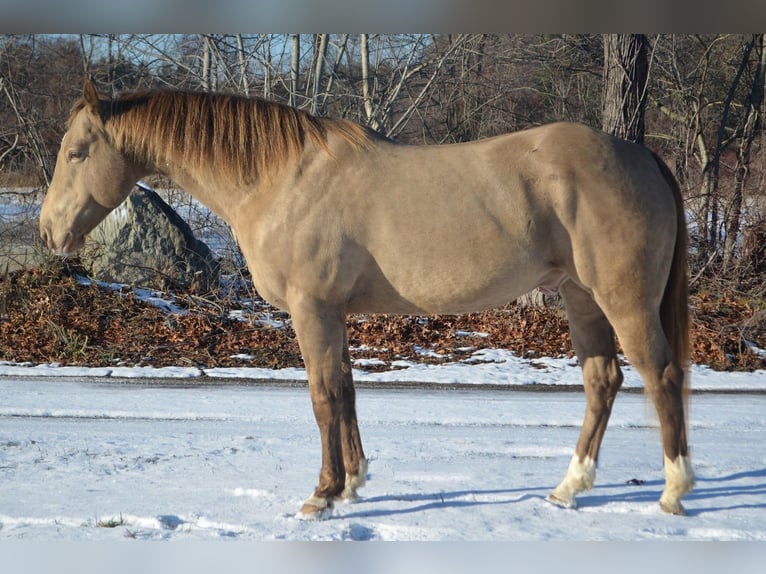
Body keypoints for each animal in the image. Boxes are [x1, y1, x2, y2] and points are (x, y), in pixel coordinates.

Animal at [40, 79, 695, 518]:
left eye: (76, 153)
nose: (49, 232)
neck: (282, 181)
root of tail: (642, 156)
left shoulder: (313, 311)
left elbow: (323, 398)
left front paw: (323, 495)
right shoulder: (334, 315)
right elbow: (347, 393)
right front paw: (353, 483)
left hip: (624, 300)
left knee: (660, 375)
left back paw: (673, 491)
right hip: (580, 299)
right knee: (603, 380)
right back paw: (568, 489)